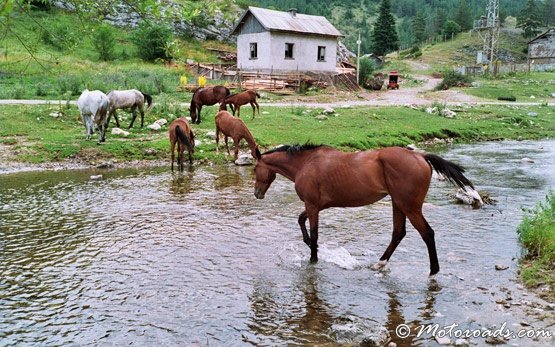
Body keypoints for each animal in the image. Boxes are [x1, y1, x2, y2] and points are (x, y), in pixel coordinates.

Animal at [254, 144, 476, 278]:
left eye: (255, 169)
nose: (257, 193)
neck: (306, 164)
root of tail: (420, 156)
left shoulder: (312, 205)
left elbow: (314, 232)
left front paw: (313, 258)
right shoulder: (315, 206)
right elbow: (301, 221)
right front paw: (309, 244)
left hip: (409, 207)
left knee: (427, 233)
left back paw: (433, 272)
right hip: (398, 204)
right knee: (398, 233)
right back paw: (380, 264)